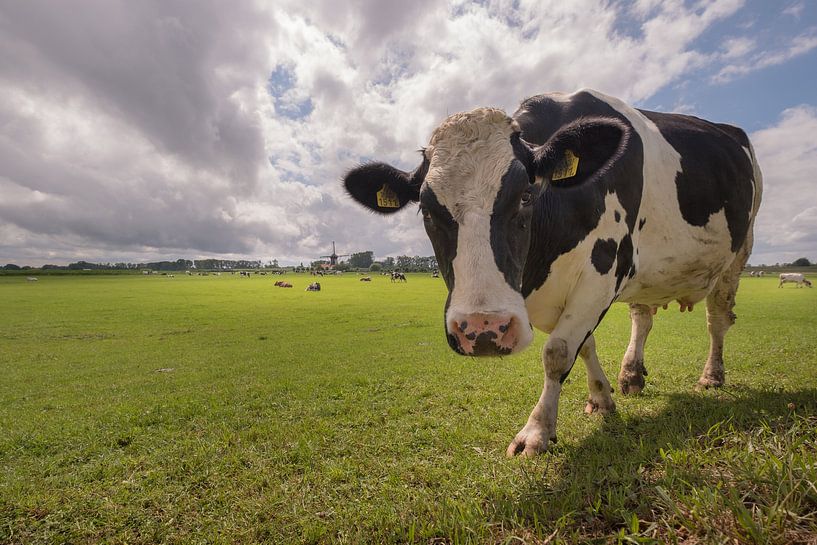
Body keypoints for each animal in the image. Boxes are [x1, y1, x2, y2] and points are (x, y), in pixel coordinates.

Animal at [343, 89, 763, 456]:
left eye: (527, 195)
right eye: (427, 210)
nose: (482, 329)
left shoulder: (604, 271)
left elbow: (558, 353)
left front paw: (537, 431)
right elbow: (585, 344)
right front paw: (601, 397)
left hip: (739, 252)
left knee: (717, 320)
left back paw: (712, 376)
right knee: (642, 318)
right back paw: (631, 375)